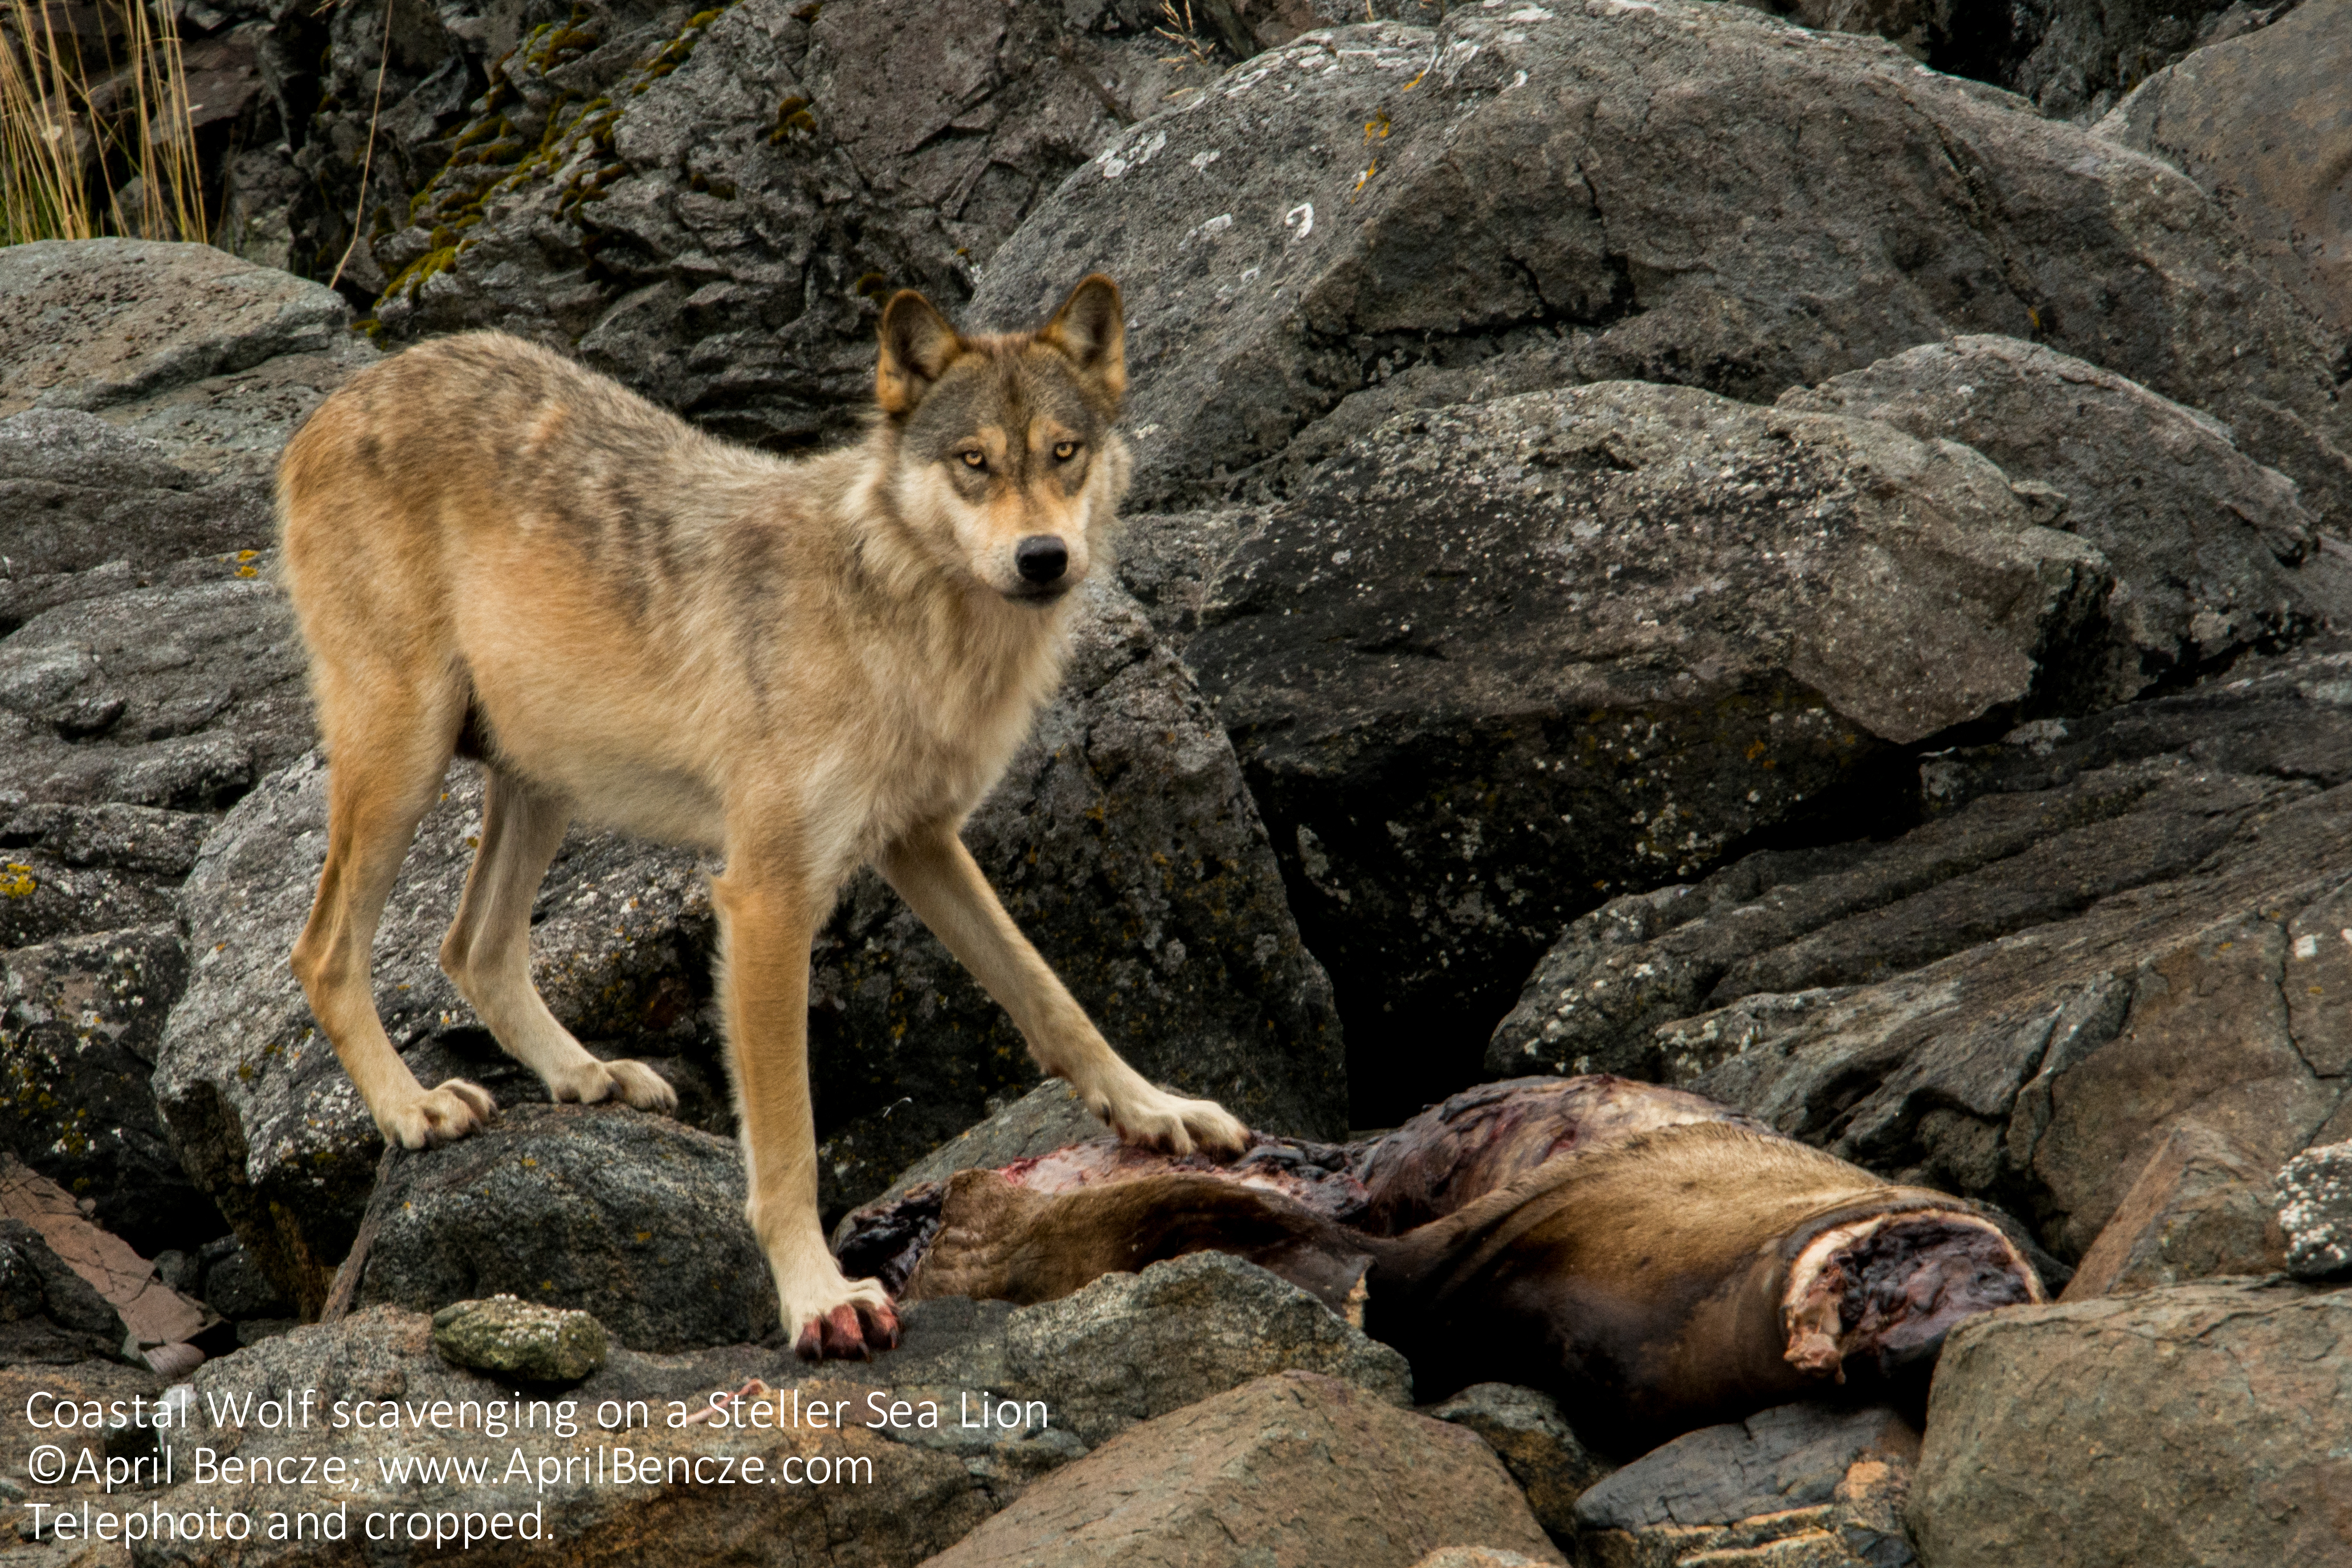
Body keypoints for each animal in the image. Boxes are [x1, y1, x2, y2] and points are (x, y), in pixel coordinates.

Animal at [275, 278, 1251, 1363]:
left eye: (1063, 452)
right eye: (974, 463)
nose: (1042, 558)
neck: (905, 620)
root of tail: (334, 402)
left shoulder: (922, 843)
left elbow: (1053, 999)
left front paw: (1159, 1111)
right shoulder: (768, 900)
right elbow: (788, 1143)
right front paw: (820, 1298)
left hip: (541, 782)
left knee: (471, 947)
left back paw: (589, 1075)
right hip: (406, 763)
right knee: (324, 951)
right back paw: (413, 1108)